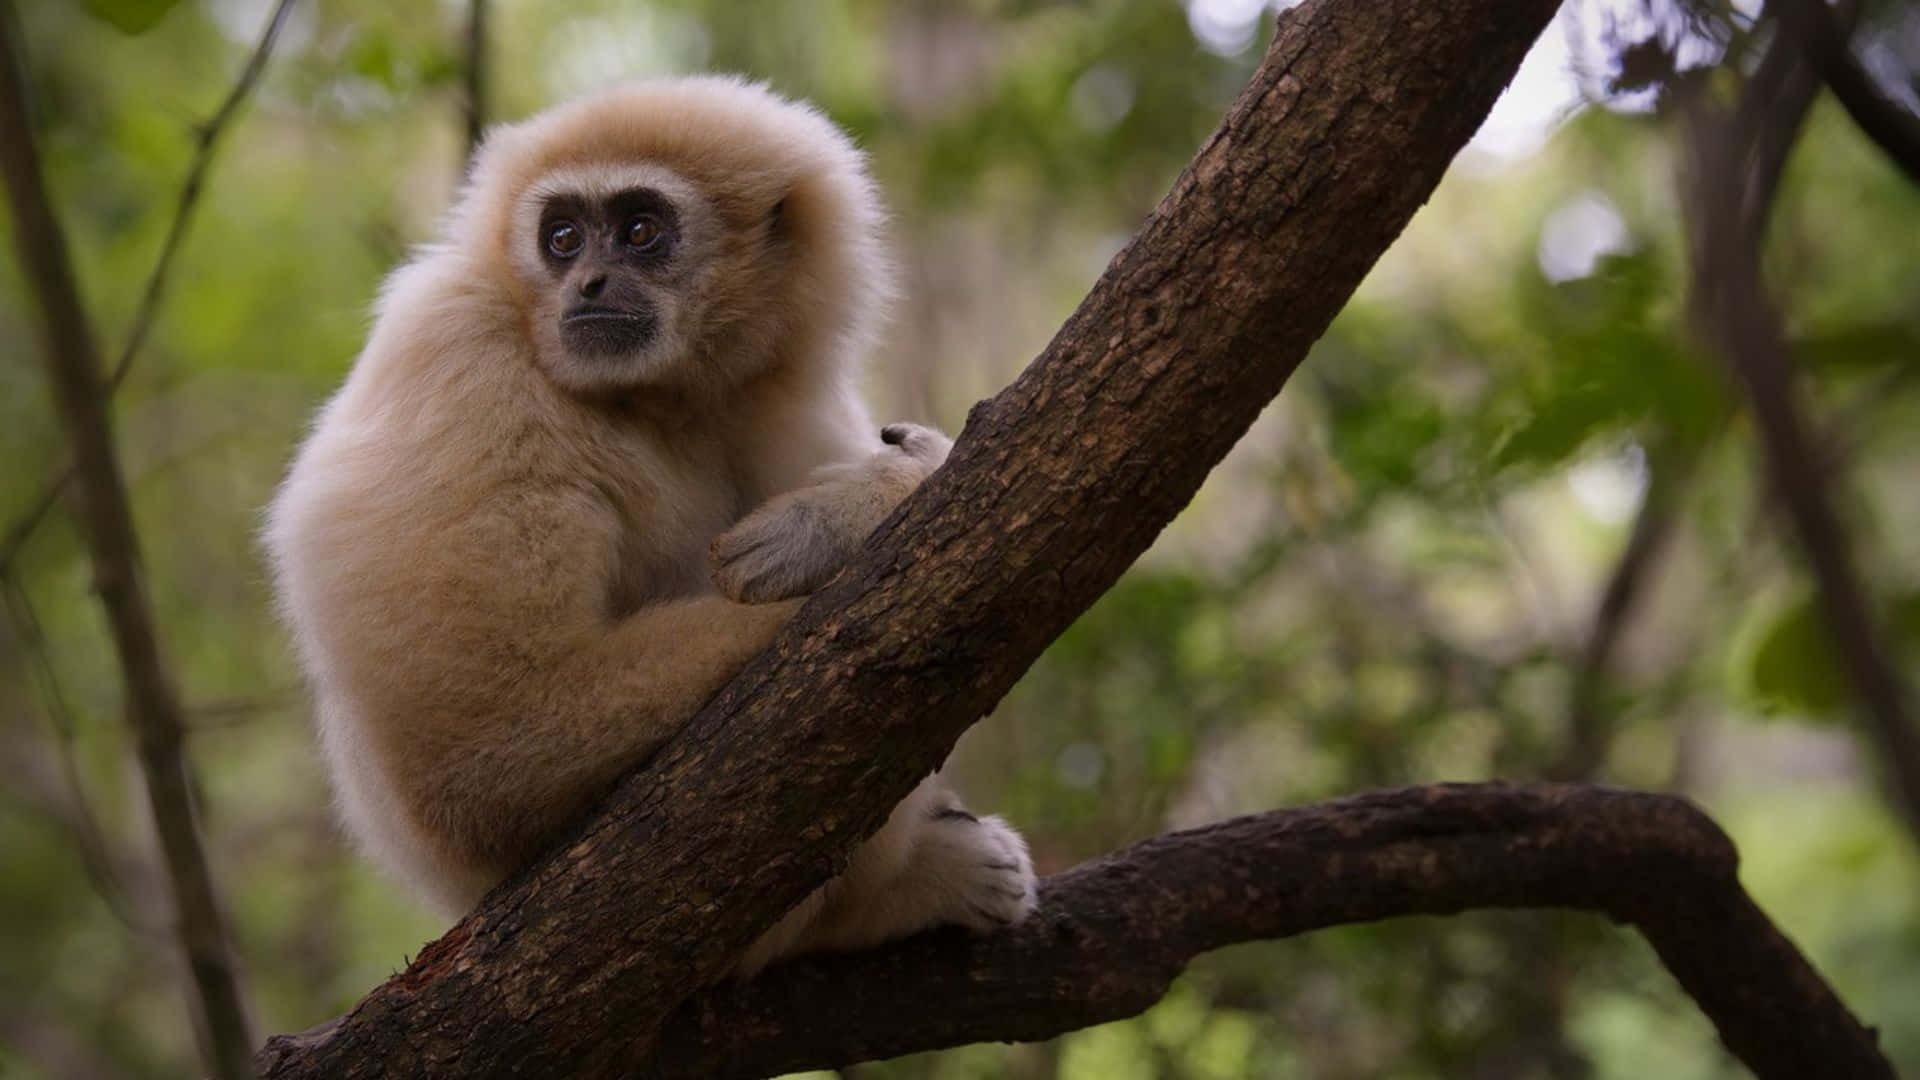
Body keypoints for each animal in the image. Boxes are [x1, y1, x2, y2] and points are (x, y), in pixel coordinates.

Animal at [263, 76, 1035, 976]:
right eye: (562, 238)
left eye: (640, 231)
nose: (591, 281)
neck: (655, 397)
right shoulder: (455, 361)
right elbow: (482, 747)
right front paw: (864, 515)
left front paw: (843, 511)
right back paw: (898, 895)